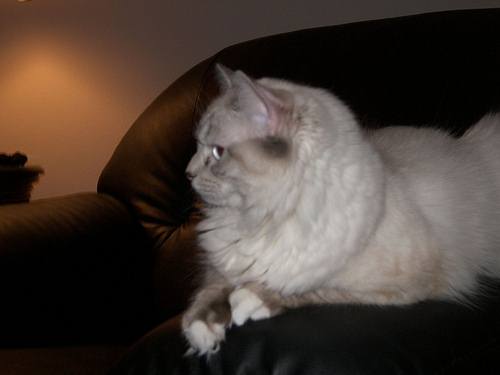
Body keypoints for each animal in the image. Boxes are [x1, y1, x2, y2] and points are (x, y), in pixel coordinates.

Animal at [182, 64, 500, 356]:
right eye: (197, 145)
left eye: (217, 152)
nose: (188, 174)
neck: (261, 220)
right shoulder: (222, 259)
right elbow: (212, 287)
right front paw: (201, 328)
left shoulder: (408, 283)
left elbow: (313, 288)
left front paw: (250, 298)